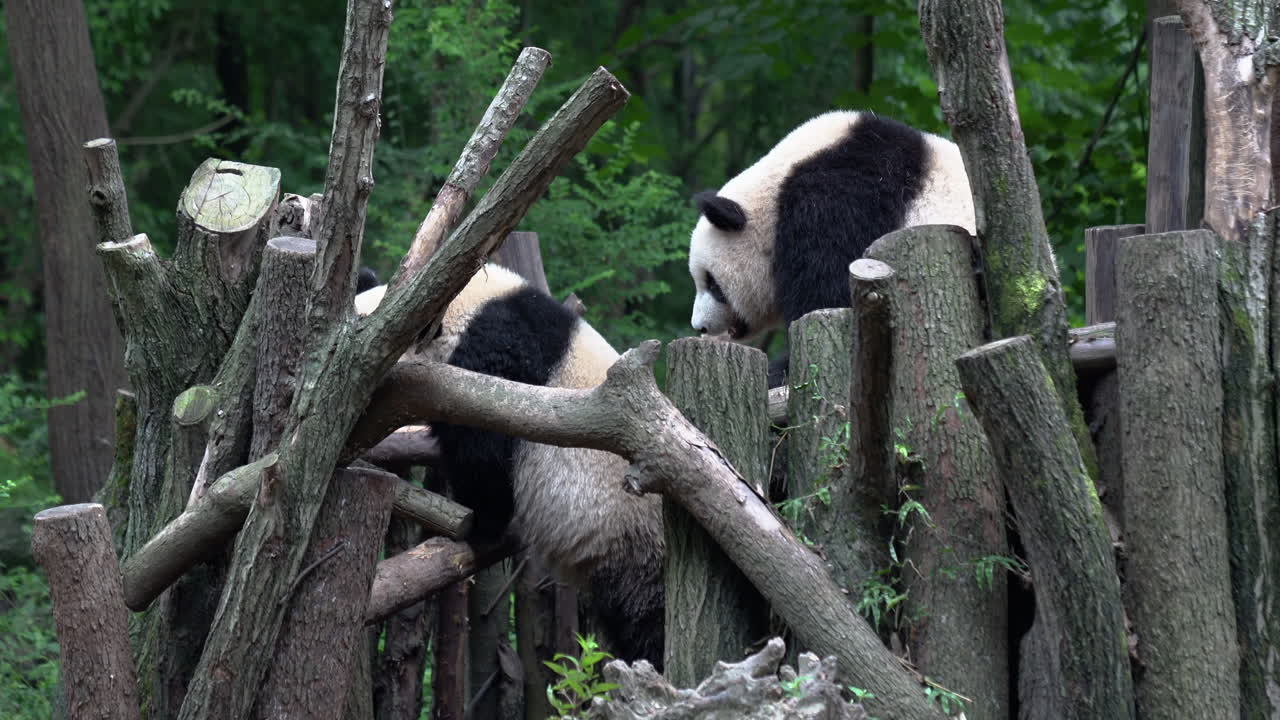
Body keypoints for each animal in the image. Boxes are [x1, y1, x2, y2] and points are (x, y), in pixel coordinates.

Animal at [355, 264, 664, 666]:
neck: (469, 309)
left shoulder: (491, 365)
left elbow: (484, 455)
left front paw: (480, 525)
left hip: (634, 539)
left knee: (649, 621)